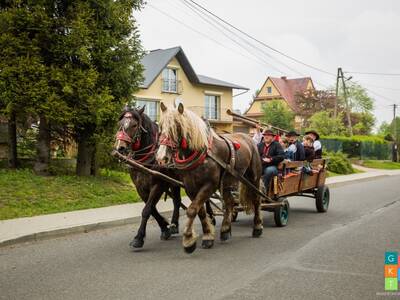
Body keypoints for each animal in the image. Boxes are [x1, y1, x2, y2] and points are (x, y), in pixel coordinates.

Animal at [115, 105, 182, 248]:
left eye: (134, 125)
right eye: (120, 124)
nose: (120, 148)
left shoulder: (159, 184)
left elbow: (147, 210)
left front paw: (139, 237)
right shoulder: (140, 188)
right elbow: (152, 209)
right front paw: (165, 227)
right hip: (174, 182)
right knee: (177, 201)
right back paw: (174, 225)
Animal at [155, 103, 262, 253]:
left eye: (177, 126)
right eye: (160, 127)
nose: (161, 158)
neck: (201, 152)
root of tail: (249, 138)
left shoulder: (209, 185)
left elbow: (192, 210)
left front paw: (188, 240)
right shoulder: (190, 188)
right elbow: (199, 211)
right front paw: (207, 235)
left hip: (253, 178)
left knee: (256, 200)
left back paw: (257, 227)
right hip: (227, 182)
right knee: (229, 202)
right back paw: (225, 230)